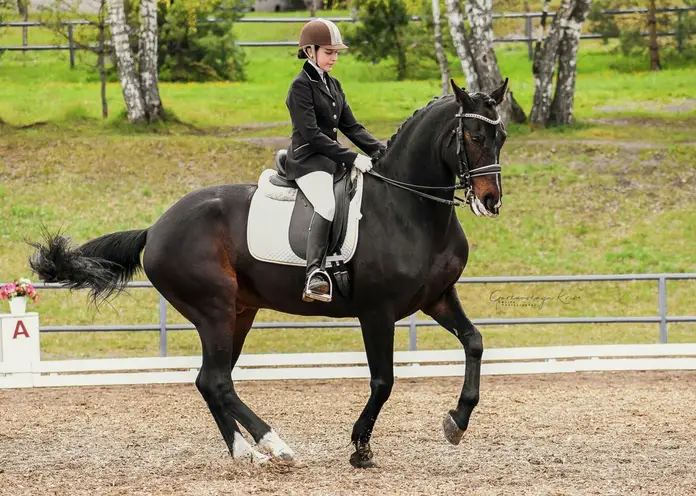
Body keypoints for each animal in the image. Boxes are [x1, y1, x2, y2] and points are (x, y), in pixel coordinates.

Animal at [28, 78, 506, 468]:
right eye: (471, 135)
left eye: (501, 136)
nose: (491, 200)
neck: (408, 208)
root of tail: (156, 227)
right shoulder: (378, 311)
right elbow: (383, 380)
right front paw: (360, 448)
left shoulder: (437, 297)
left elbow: (475, 342)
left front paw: (457, 421)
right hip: (214, 310)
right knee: (217, 380)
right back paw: (273, 445)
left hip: (239, 313)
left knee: (210, 380)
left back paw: (248, 452)